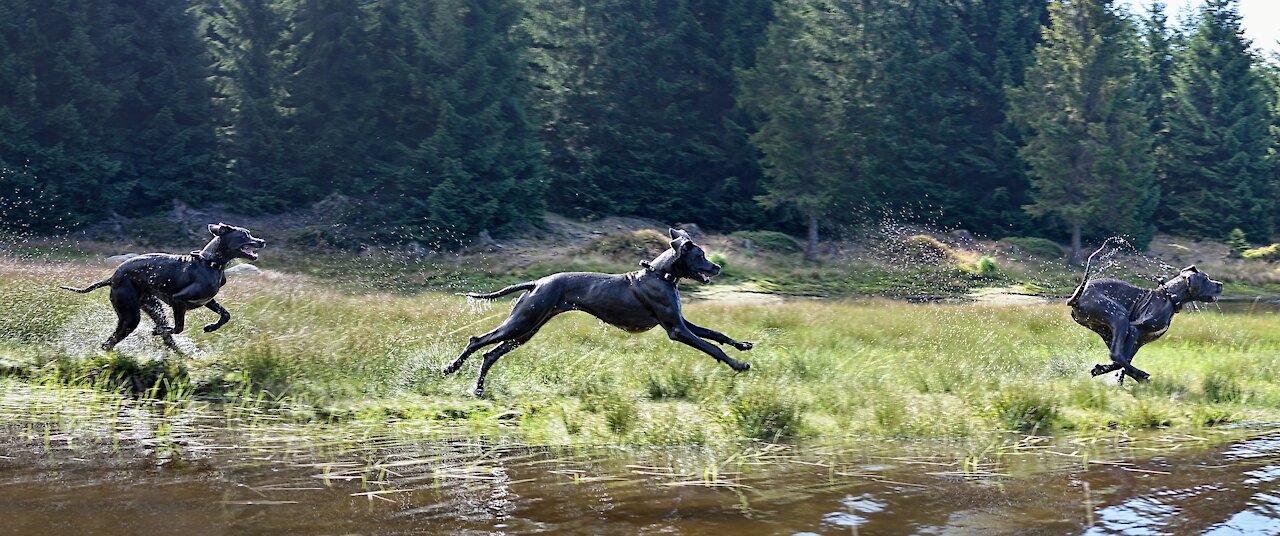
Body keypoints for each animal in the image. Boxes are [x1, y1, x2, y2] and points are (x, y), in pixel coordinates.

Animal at [60, 222, 264, 353]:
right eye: (245, 235)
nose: (262, 241)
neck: (211, 263)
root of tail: (112, 278)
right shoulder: (178, 300)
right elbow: (178, 327)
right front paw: (158, 330)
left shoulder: (207, 300)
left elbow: (226, 315)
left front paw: (211, 327)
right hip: (131, 315)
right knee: (111, 341)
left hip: (152, 307)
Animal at [448, 228, 752, 396]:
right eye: (700, 255)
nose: (717, 267)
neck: (661, 275)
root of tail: (536, 283)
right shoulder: (677, 330)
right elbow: (712, 347)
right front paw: (738, 365)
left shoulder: (682, 322)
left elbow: (716, 334)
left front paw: (742, 345)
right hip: (521, 323)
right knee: (477, 341)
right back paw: (451, 367)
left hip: (526, 330)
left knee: (490, 354)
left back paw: (478, 388)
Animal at [1064, 241, 1223, 383]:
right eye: (1206, 279)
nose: (1220, 284)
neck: (1169, 297)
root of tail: (1077, 296)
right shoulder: (1135, 328)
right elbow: (1121, 359)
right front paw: (1133, 376)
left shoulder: (1140, 340)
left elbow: (1124, 360)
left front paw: (1106, 371)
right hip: (1119, 317)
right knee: (1116, 354)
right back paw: (1141, 374)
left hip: (1104, 330)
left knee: (1117, 355)